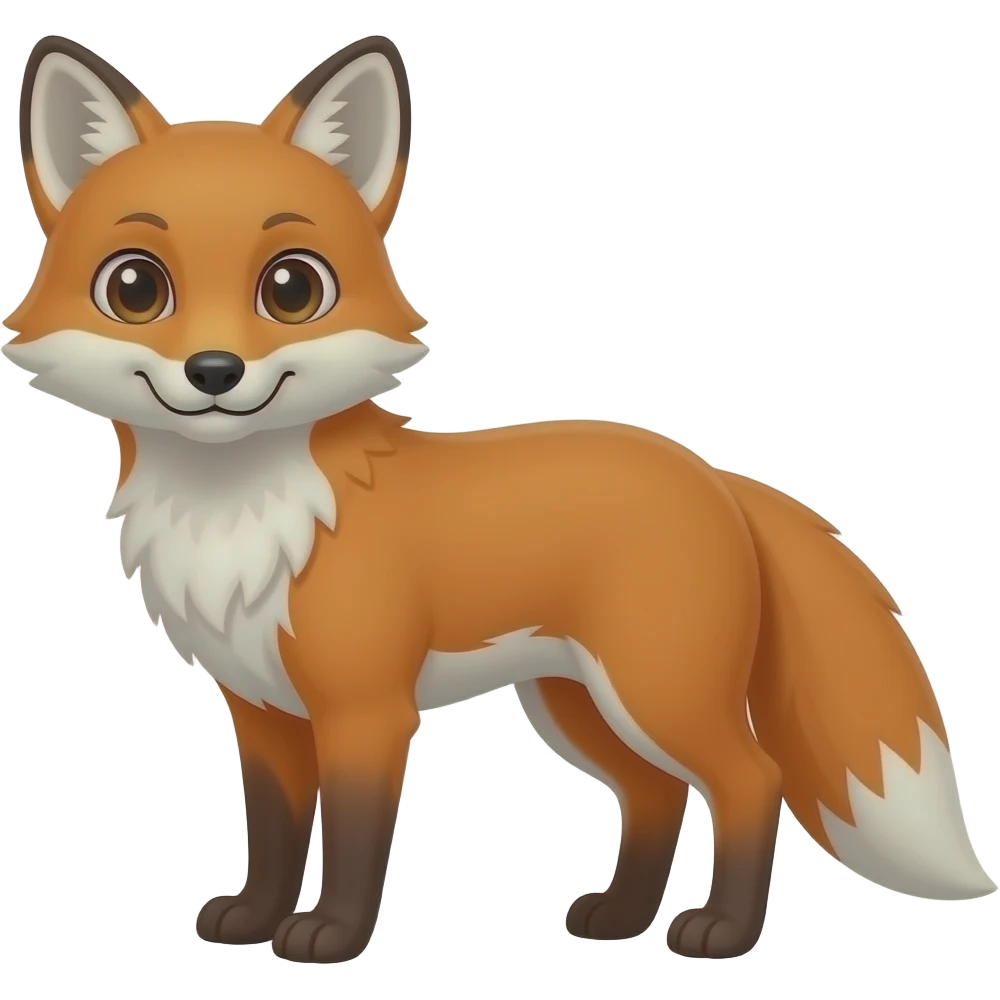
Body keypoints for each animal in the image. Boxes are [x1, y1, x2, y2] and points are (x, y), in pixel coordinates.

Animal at [5, 32, 995, 966]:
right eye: (135, 286)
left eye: (292, 287)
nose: (214, 372)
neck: (243, 514)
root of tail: (712, 473)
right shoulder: (262, 713)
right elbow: (277, 832)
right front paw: (253, 918)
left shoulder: (367, 710)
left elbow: (355, 839)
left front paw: (331, 936)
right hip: (576, 702)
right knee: (657, 792)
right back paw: (620, 918)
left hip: (655, 690)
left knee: (752, 779)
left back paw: (721, 931)